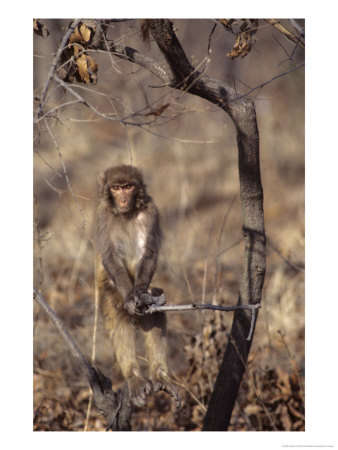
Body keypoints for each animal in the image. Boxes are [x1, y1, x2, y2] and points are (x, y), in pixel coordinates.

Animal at [93, 165, 180, 408]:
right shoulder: (102, 213)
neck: (125, 213)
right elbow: (111, 257)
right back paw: (134, 378)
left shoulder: (151, 211)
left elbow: (148, 253)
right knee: (119, 319)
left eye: (128, 187)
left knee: (155, 314)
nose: (123, 198)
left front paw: (140, 294)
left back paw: (160, 377)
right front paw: (132, 298)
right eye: (116, 187)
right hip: (110, 294)